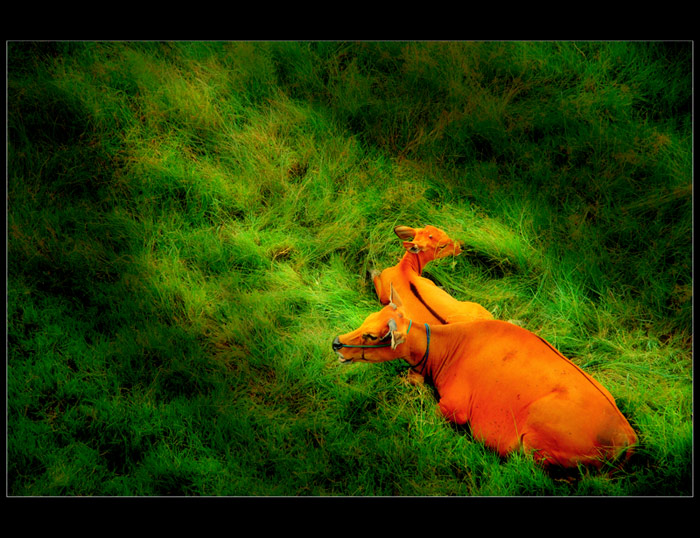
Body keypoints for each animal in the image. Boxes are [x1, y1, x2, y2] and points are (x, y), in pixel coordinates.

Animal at [330, 282, 636, 466]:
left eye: (371, 336)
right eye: (367, 320)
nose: (336, 343)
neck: (444, 348)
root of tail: (627, 436)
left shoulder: (454, 407)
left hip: (533, 446)